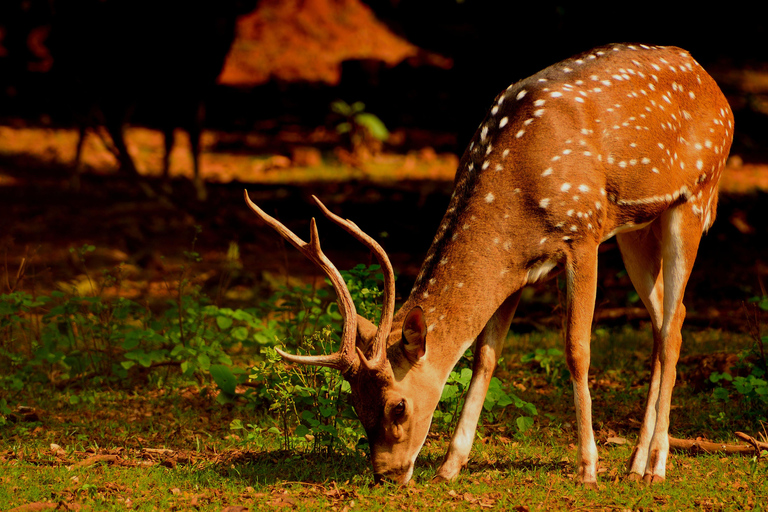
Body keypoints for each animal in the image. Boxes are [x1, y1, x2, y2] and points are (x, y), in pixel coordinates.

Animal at [244, 43, 732, 484]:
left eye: (397, 406)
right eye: (354, 403)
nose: (386, 474)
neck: (514, 199)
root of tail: (713, 83)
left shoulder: (583, 233)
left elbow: (576, 350)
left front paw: (588, 469)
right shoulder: (517, 269)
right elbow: (485, 357)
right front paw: (449, 467)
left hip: (694, 197)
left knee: (672, 328)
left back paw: (655, 466)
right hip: (637, 228)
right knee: (669, 319)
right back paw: (633, 464)